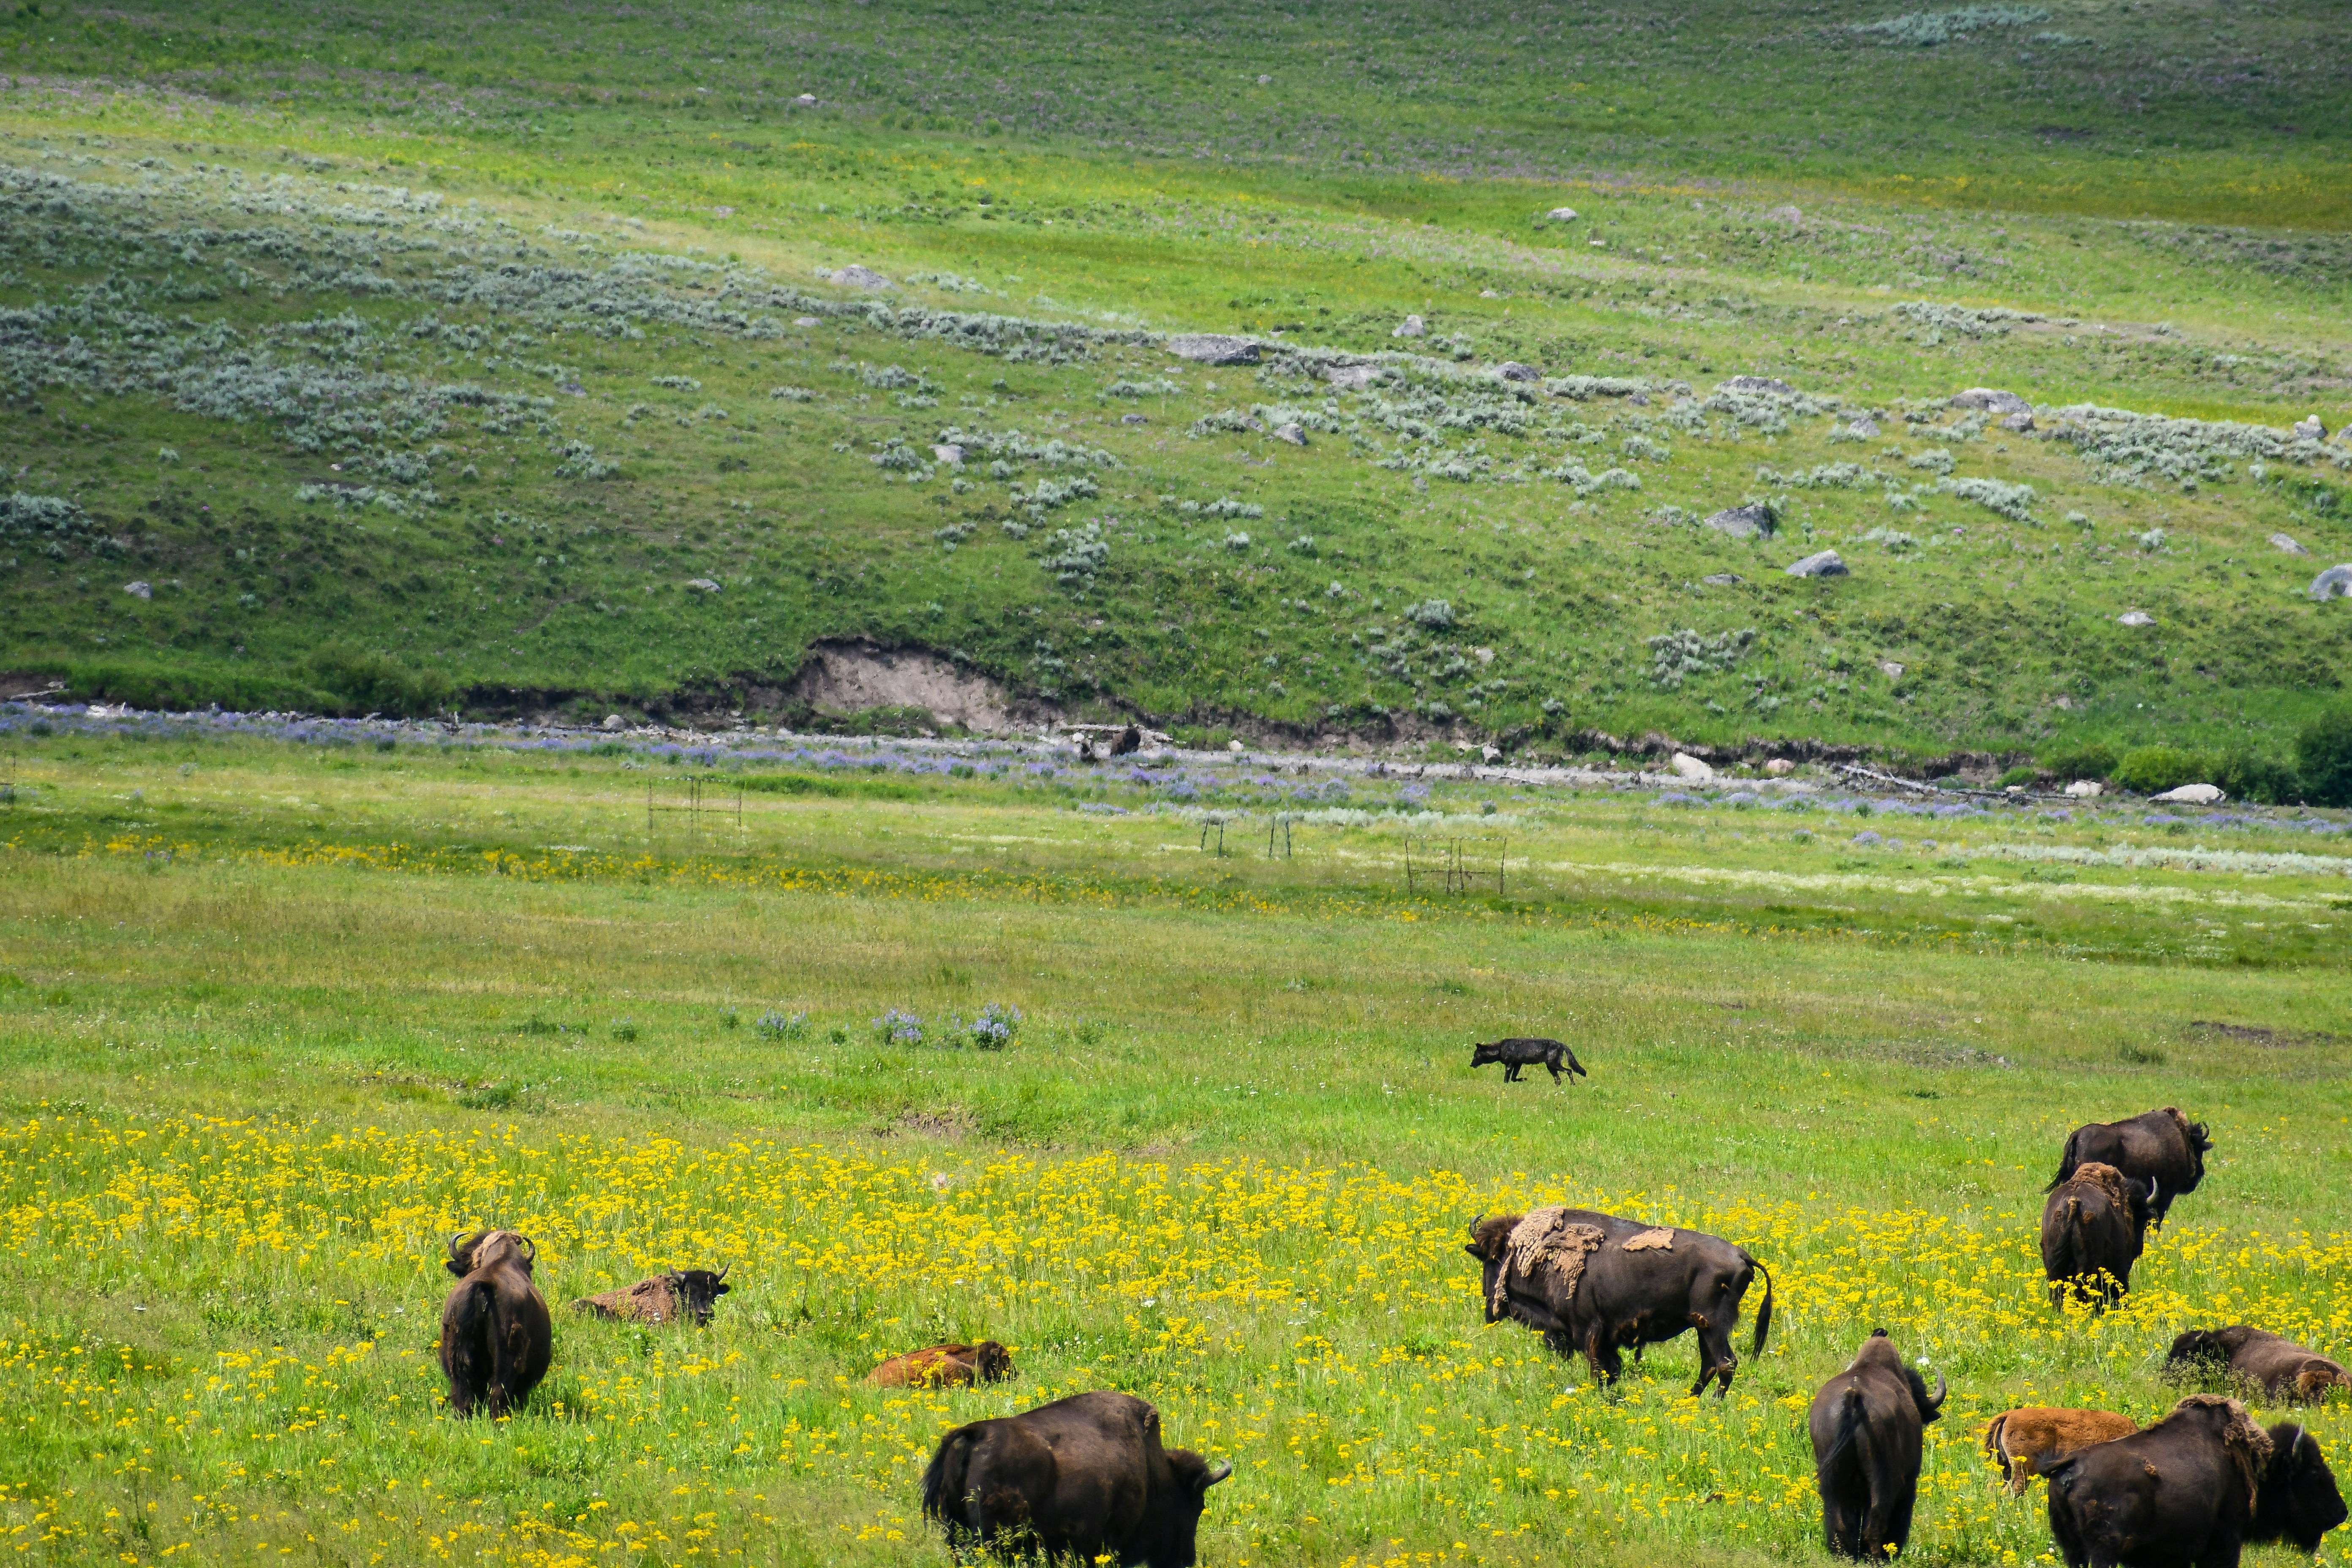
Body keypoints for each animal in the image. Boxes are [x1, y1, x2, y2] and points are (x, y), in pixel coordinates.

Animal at [1465, 1206, 1773, 1398]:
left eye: (1489, 1260)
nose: (1489, 1306)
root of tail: (1742, 1256)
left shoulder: (1588, 1330)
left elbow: (1600, 1370)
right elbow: (1610, 1369)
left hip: (1713, 1326)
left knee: (1725, 1364)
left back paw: (1711, 1406)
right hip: (1702, 1328)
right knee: (1710, 1364)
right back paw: (1689, 1402)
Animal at [1469, 1037, 1589, 1085]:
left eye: (1475, 1056)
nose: (1471, 1065)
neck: (1499, 1049)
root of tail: (1561, 1044)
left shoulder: (1510, 1065)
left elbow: (1507, 1079)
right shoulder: (1518, 1065)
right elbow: (1513, 1079)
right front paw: (1524, 1079)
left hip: (1553, 1065)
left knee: (1569, 1071)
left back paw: (1573, 1085)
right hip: (1551, 1067)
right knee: (1558, 1080)